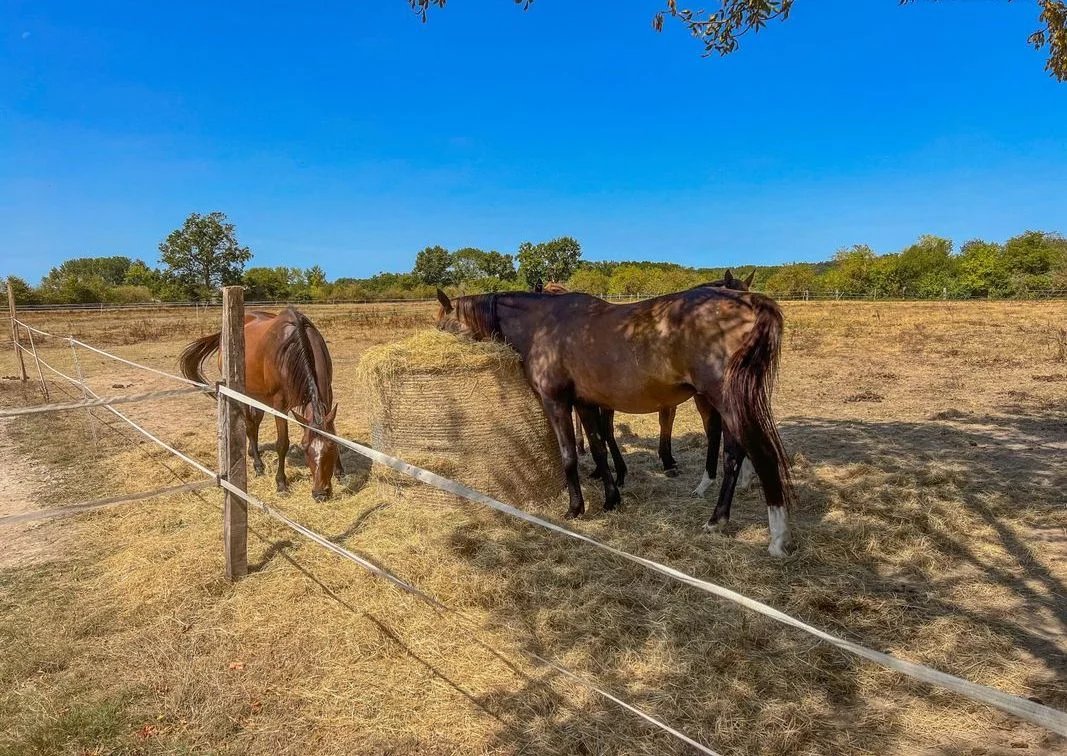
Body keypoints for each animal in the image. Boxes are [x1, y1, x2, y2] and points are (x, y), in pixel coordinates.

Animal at [179, 307, 341, 501]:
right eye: (304, 447)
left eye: (331, 447)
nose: (320, 494)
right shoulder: (280, 405)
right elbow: (282, 443)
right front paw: (281, 483)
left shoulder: (328, 395)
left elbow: (334, 431)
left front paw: (339, 470)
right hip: (243, 393)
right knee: (250, 425)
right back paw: (257, 464)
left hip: (259, 397)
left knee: (255, 422)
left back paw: (252, 452)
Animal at [435, 286, 793, 556]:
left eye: (442, 326)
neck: (541, 325)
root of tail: (746, 300)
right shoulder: (585, 404)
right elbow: (597, 448)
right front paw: (611, 499)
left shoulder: (557, 403)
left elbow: (569, 455)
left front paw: (575, 508)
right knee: (733, 455)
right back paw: (717, 520)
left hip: (726, 402)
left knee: (760, 455)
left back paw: (776, 539)